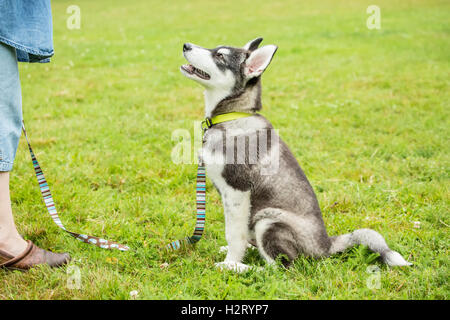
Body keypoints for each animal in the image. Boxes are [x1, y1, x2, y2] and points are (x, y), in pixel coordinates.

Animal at [179, 37, 412, 272]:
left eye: (220, 56)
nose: (186, 45)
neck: (233, 116)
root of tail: (325, 245)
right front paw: (232, 254)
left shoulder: (238, 190)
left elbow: (234, 234)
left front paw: (231, 261)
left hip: (268, 220)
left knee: (280, 268)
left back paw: (239, 268)